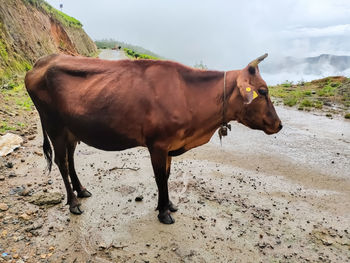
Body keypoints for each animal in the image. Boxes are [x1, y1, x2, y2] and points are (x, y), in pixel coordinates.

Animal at [24, 53, 282, 225]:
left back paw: (81, 190)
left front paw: (167, 205)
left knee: (70, 159)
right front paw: (164, 213)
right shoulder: (157, 144)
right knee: (61, 162)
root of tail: (41, 61)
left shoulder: (169, 146)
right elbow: (160, 178)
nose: (279, 125)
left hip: (72, 130)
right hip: (54, 126)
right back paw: (73, 203)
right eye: (263, 91)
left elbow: (166, 175)